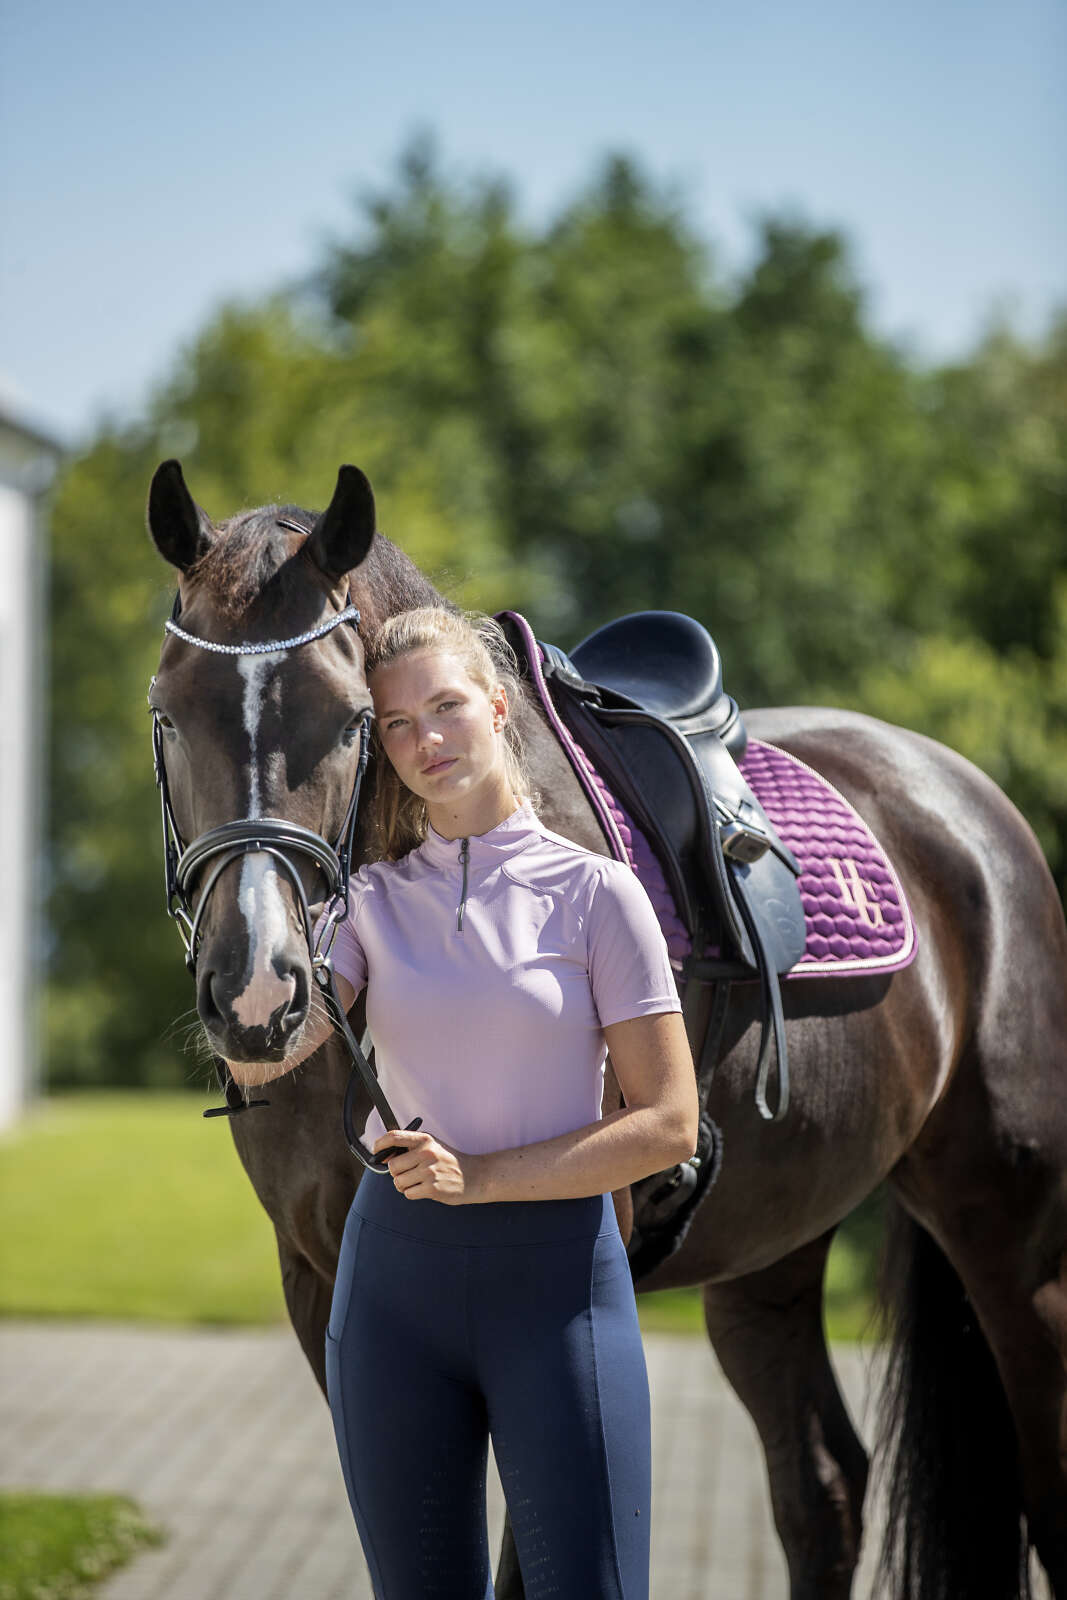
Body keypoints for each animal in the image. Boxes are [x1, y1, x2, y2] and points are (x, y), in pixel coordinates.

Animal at [145, 459, 1067, 1599]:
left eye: (353, 719)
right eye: (168, 715)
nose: (256, 994)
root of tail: (969, 800)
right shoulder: (318, 1286)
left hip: (1011, 1242)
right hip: (769, 1245)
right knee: (823, 1489)